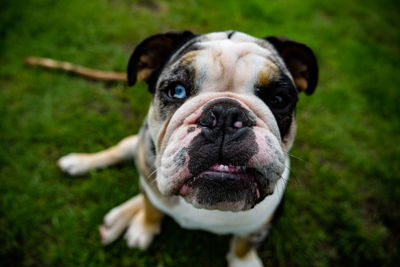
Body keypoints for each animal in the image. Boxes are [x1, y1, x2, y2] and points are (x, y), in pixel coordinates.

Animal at [57, 30, 318, 266]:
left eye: (279, 100)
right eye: (177, 90)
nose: (225, 114)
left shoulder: (263, 223)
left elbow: (244, 243)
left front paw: (244, 262)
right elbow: (151, 207)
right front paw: (144, 227)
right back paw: (80, 163)